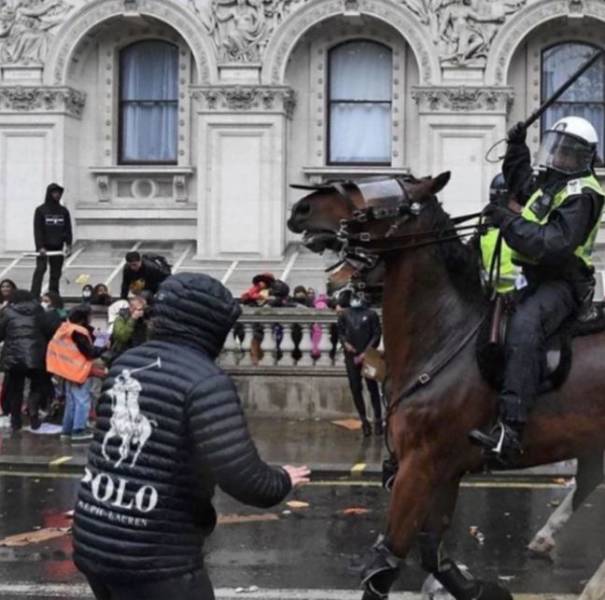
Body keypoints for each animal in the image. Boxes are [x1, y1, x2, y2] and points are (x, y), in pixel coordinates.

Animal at [288, 171, 604, 596]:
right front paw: (483, 590)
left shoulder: (420, 467)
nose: (302, 208)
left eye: (378, 196)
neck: (445, 334)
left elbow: (385, 564)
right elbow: (433, 555)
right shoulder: (444, 469)